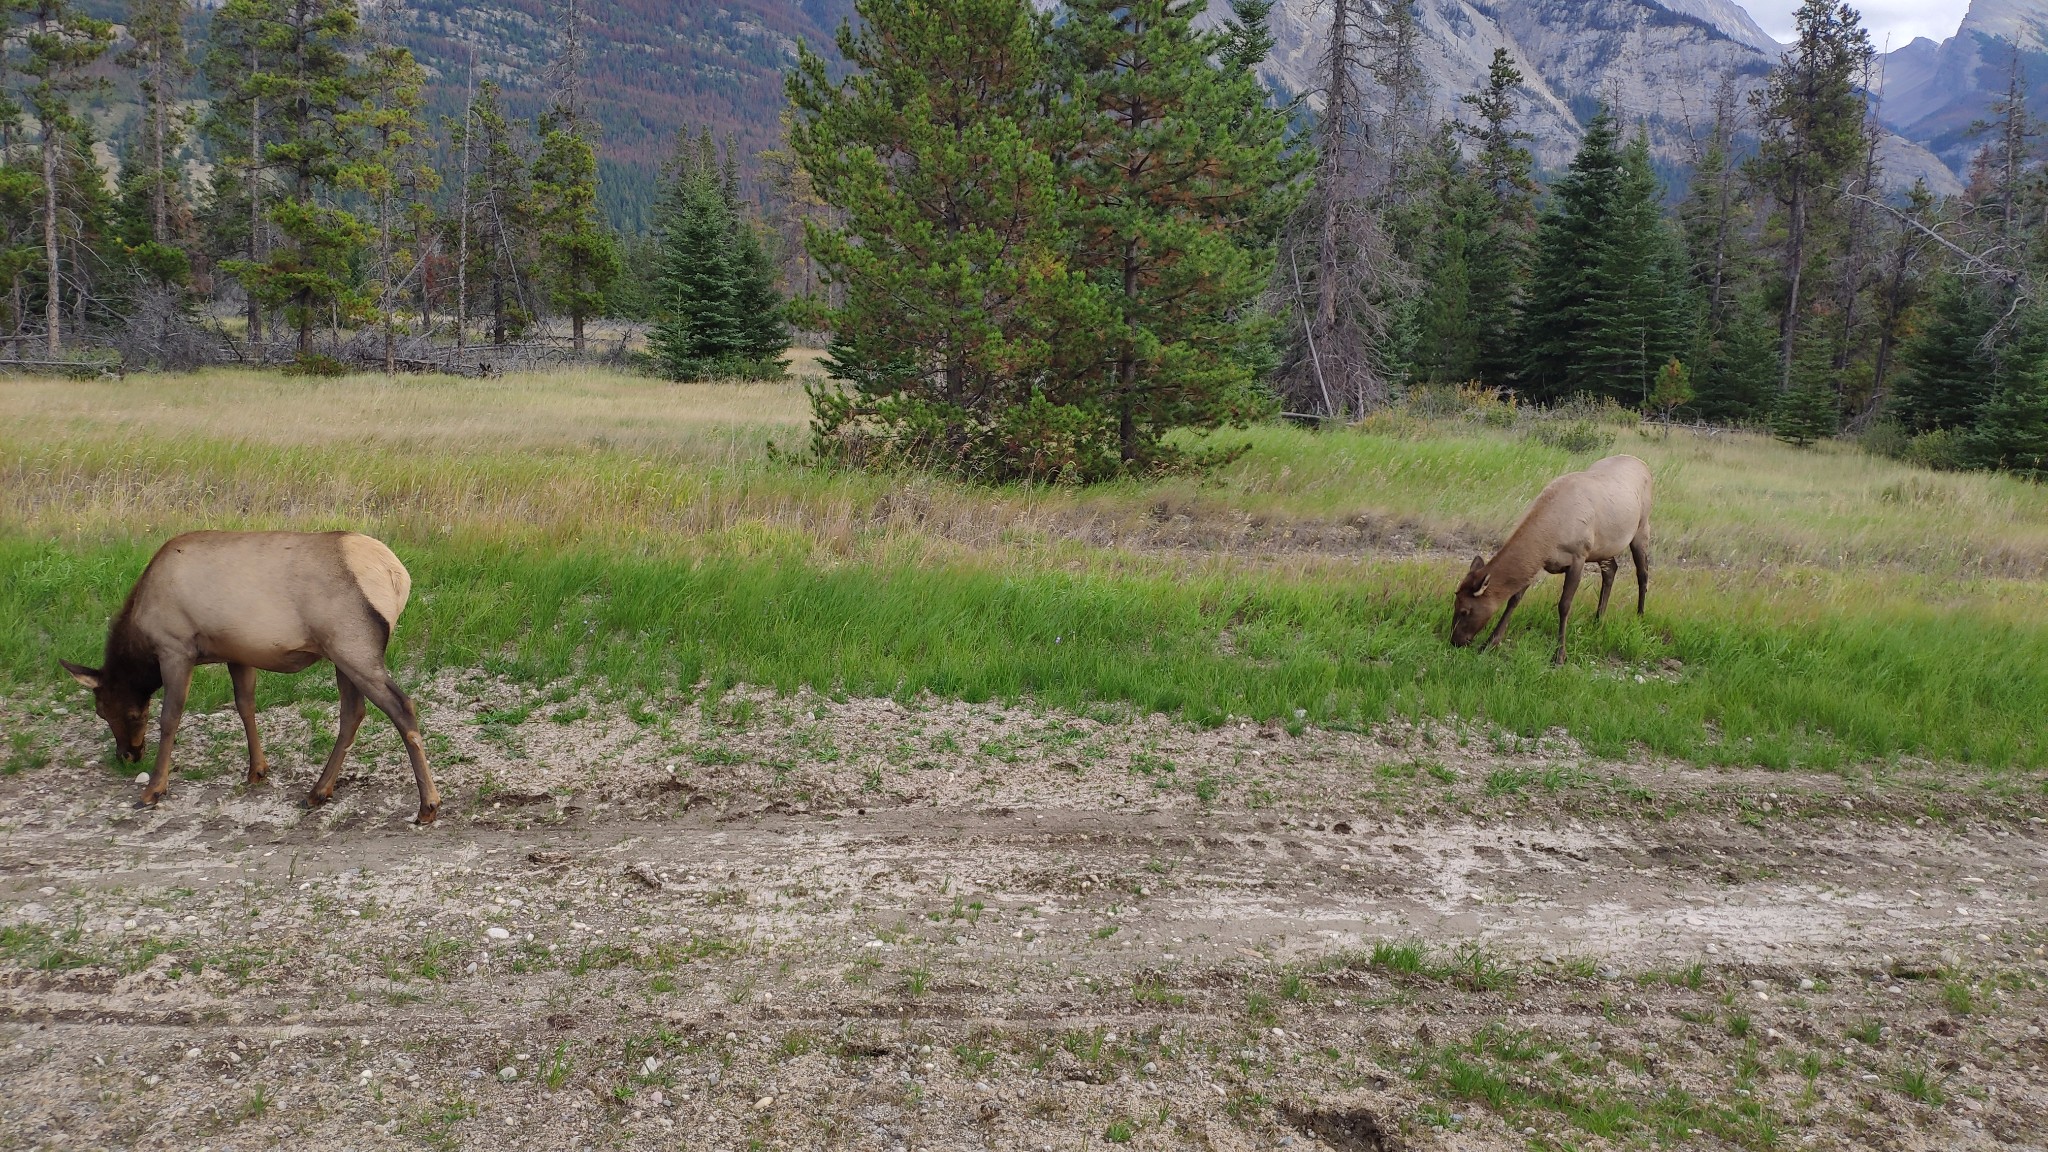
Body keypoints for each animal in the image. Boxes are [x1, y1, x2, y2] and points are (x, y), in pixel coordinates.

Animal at [58, 528, 444, 815]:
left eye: (109, 710)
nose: (127, 754)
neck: (141, 638)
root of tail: (398, 578)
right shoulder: (237, 653)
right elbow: (245, 705)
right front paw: (257, 769)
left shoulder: (175, 647)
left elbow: (170, 718)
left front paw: (153, 789)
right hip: (343, 654)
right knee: (353, 713)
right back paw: (318, 791)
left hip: (354, 647)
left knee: (401, 707)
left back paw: (427, 804)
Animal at [1449, 450, 1654, 660]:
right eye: (1454, 604)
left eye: (1465, 611)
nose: (1455, 641)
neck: (1550, 537)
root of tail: (1643, 464)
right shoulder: (1539, 562)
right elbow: (1514, 599)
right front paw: (1490, 642)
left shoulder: (1578, 557)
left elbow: (1564, 605)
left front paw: (1560, 654)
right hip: (1603, 547)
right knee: (1611, 570)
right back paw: (1598, 618)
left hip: (1641, 528)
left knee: (1643, 573)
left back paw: (1639, 616)